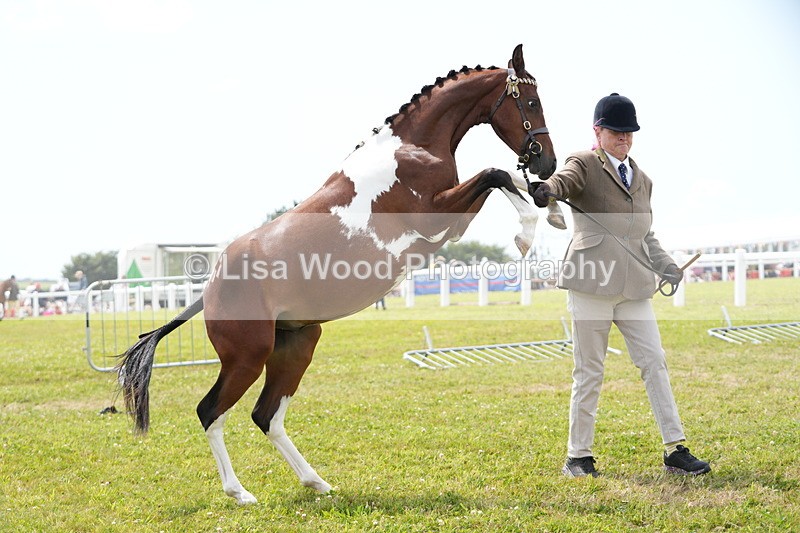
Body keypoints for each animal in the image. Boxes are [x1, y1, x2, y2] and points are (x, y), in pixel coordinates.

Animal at [118, 44, 557, 504]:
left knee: (266, 415)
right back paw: (240, 492)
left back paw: (316, 482)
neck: (413, 149)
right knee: (211, 411)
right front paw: (526, 234)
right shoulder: (438, 222)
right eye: (530, 102)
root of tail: (208, 292)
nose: (546, 161)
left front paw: (551, 206)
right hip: (247, 357)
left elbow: (506, 180)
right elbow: (497, 173)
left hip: (297, 345)